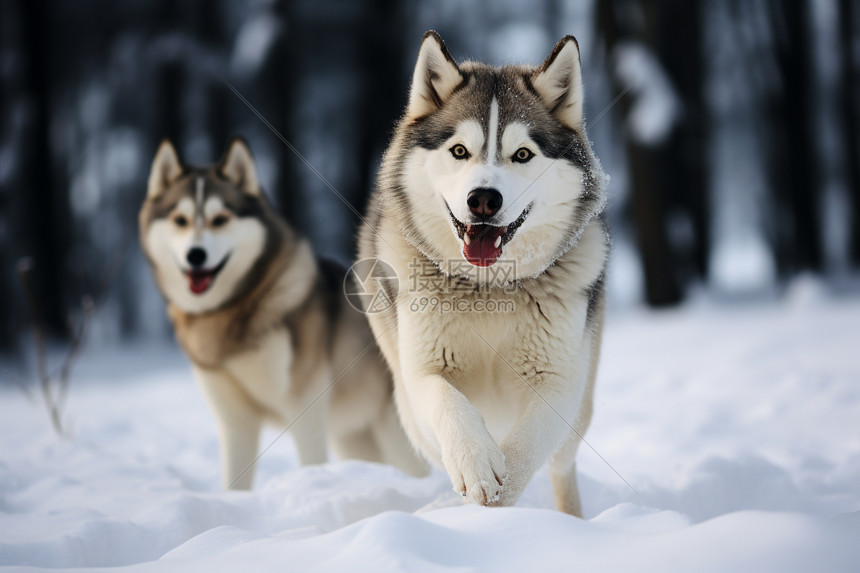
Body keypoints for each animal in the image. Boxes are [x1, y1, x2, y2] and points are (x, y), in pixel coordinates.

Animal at [139, 139, 430, 488]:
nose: (196, 255)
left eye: (220, 219)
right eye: (179, 220)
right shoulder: (235, 421)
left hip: (397, 433)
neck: (234, 310)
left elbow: (311, 462)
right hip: (356, 437)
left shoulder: (306, 406)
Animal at [358, 31, 612, 512]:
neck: (487, 289)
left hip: (583, 405)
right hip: (410, 413)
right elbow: (447, 401)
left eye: (523, 154)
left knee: (561, 464)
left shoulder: (559, 383)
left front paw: (496, 500)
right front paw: (475, 466)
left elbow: (525, 448)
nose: (483, 199)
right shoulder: (422, 371)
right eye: (459, 151)